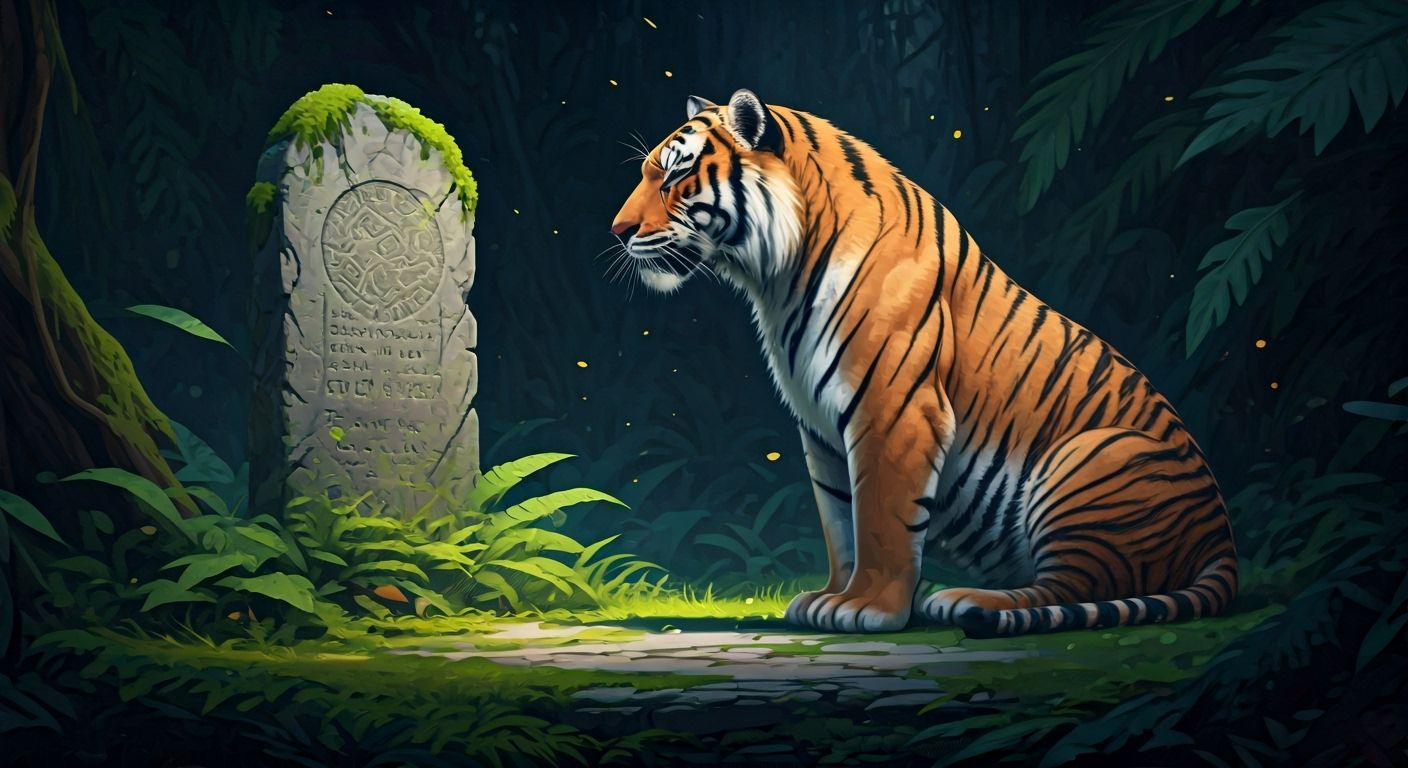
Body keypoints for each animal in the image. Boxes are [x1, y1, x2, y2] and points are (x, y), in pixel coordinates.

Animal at [609, 89, 1238, 637]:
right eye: (646, 174)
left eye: (675, 176)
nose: (618, 231)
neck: (777, 279)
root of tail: (1223, 542)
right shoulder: (820, 429)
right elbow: (840, 520)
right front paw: (830, 596)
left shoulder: (892, 410)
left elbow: (880, 517)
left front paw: (868, 608)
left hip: (1092, 456)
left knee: (1076, 588)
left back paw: (964, 600)